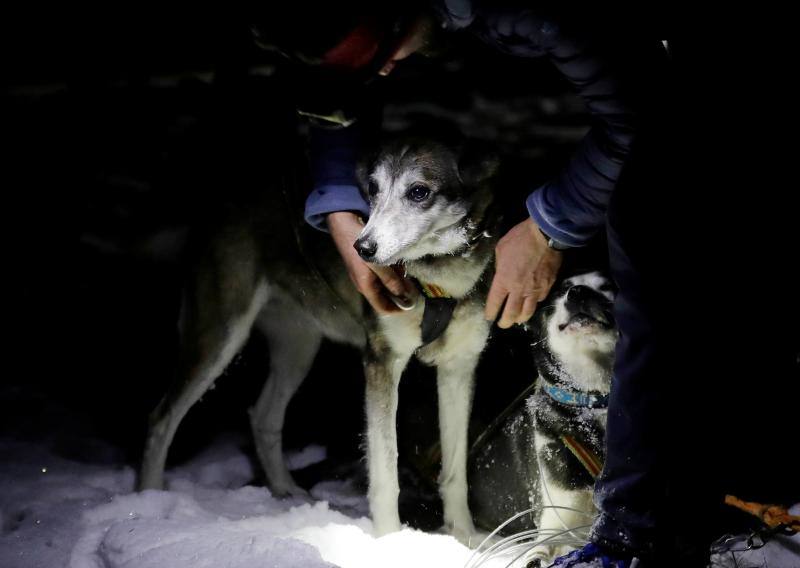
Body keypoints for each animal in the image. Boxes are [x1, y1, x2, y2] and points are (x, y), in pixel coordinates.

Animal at [138, 138, 500, 540]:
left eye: (418, 192)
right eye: (372, 189)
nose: (362, 248)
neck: (437, 280)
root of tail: (219, 201)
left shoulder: (460, 367)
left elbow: (455, 471)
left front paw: (463, 537)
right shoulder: (382, 362)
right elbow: (385, 472)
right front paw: (389, 539)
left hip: (298, 348)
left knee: (263, 415)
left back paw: (285, 488)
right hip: (218, 336)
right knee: (161, 418)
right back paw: (147, 499)